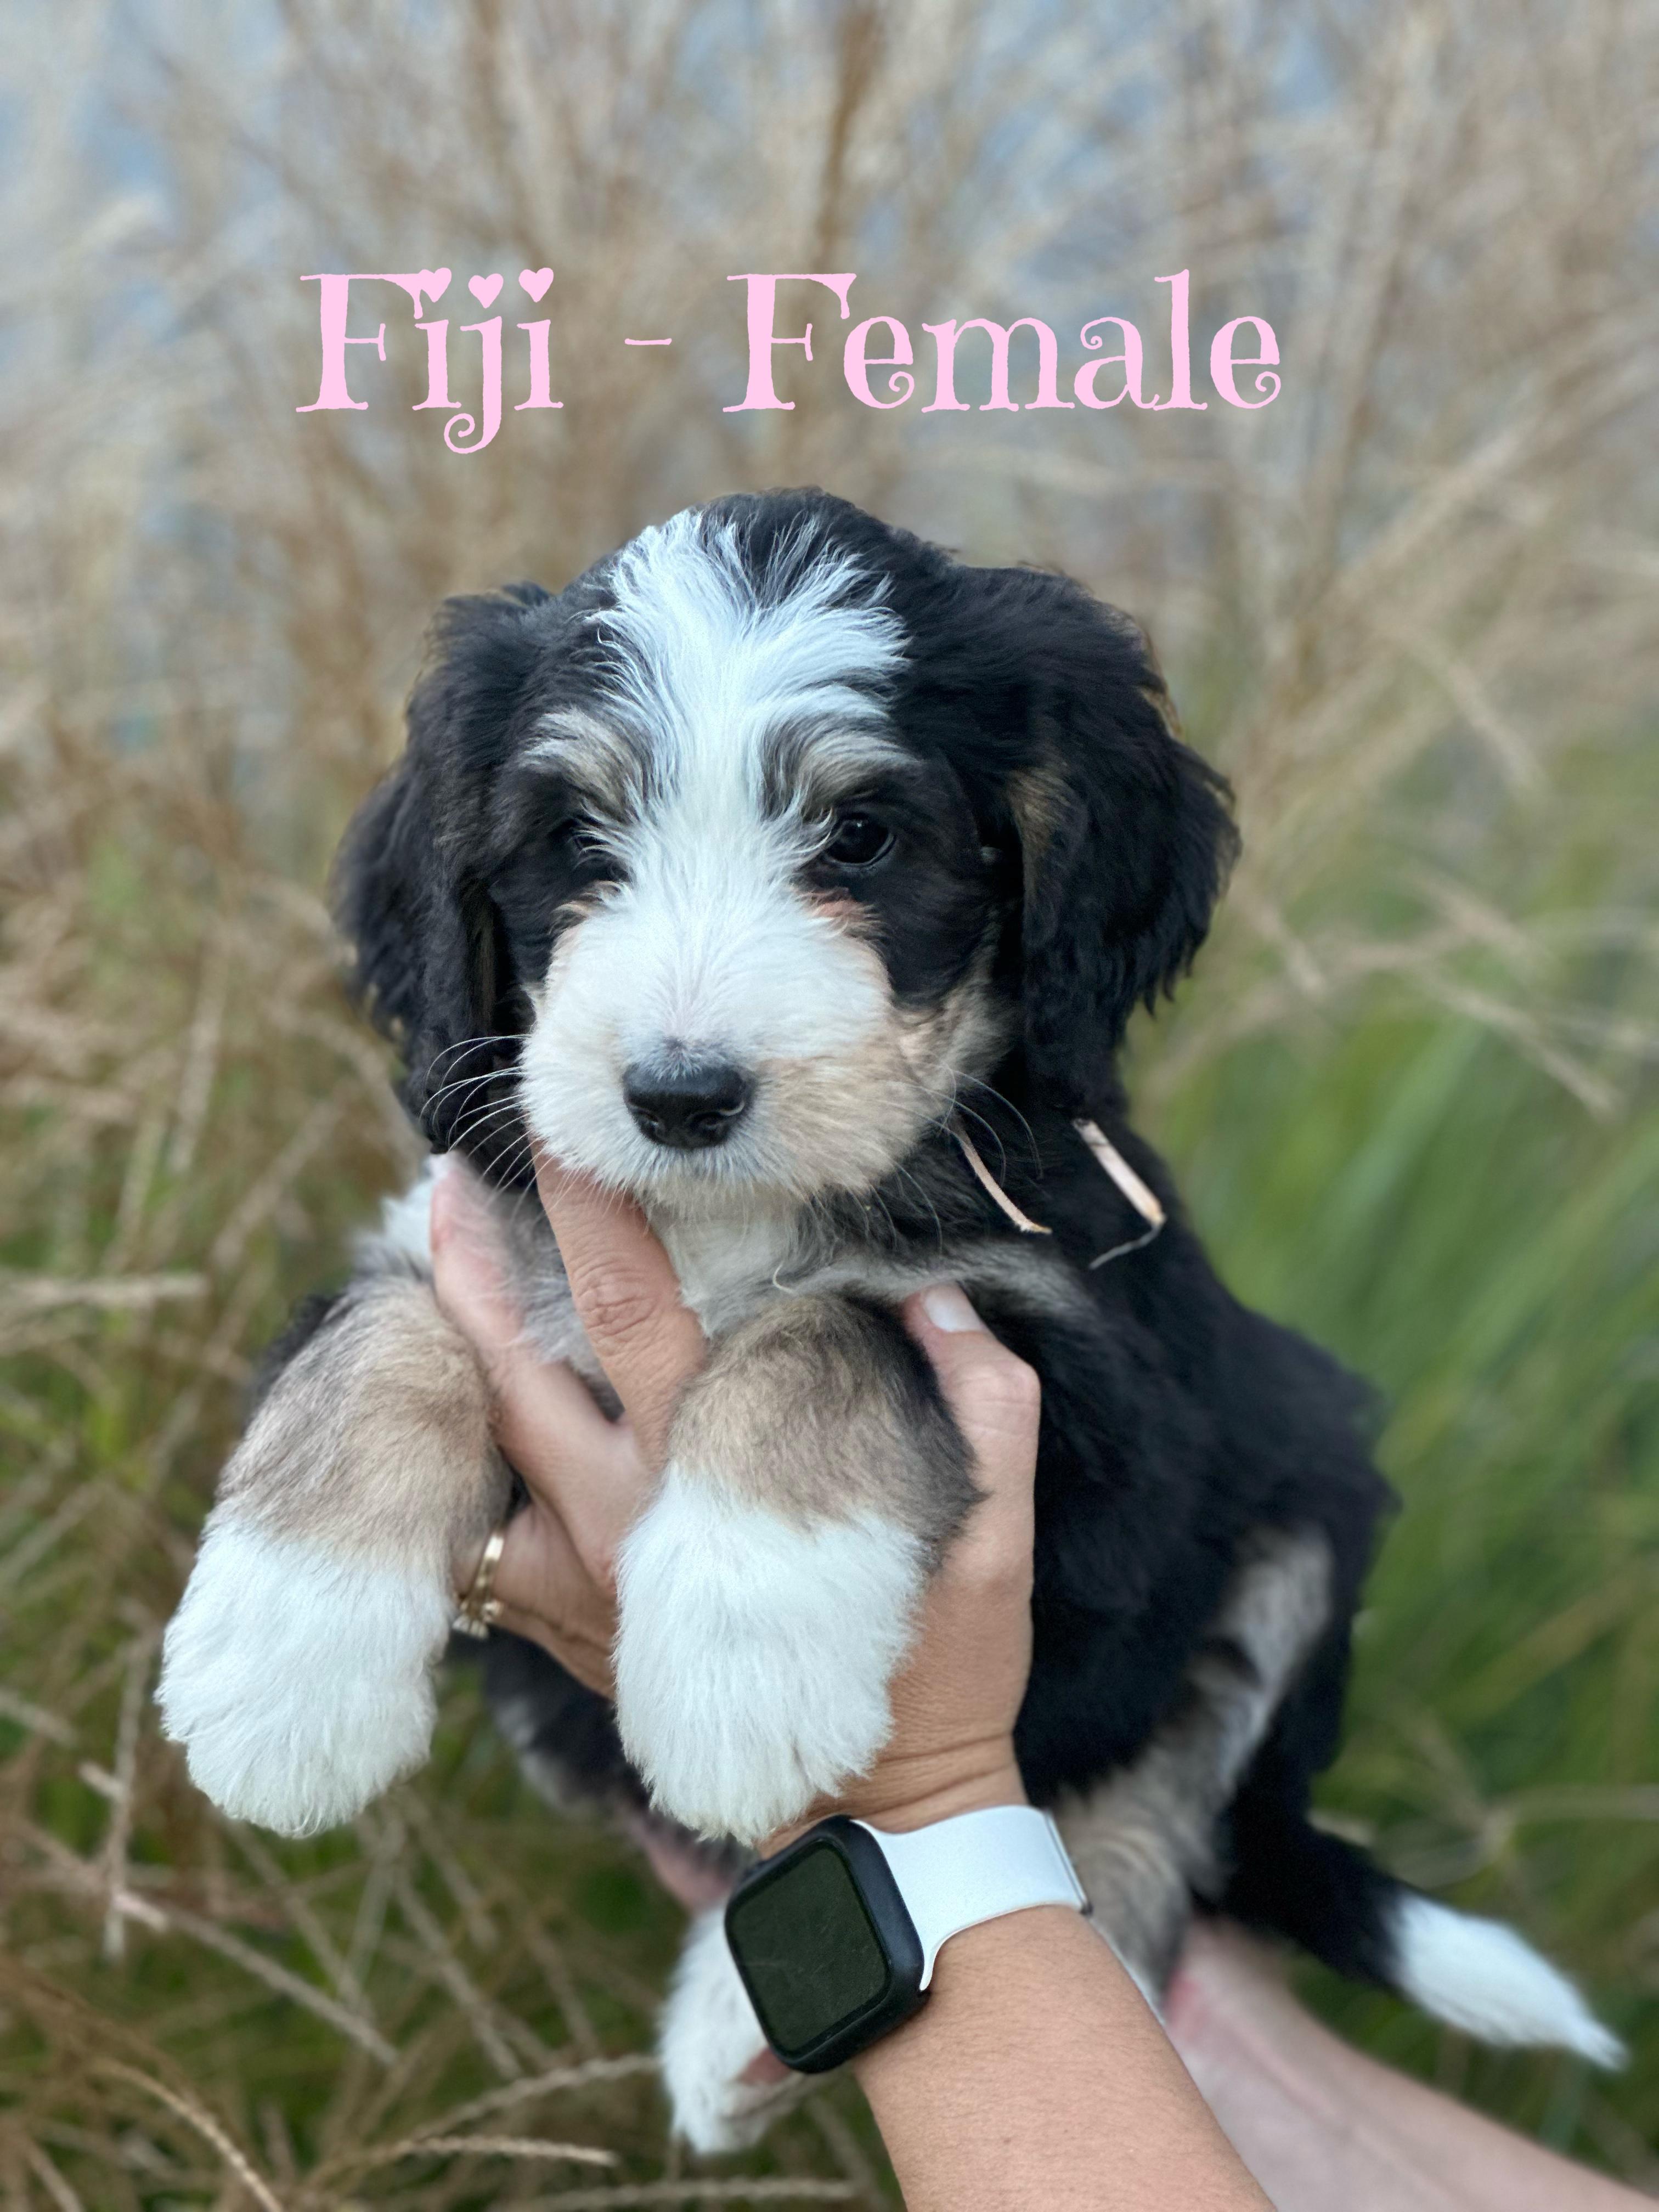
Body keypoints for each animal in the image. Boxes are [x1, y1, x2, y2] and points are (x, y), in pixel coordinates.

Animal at [157, 490, 1621, 2142]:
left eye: (860, 835)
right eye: (577, 840)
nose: (679, 1096)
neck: (725, 1219)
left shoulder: (1086, 1377)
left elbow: (828, 1334)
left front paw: (743, 1650)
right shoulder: (456, 1230)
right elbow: (378, 1339)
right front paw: (285, 1660)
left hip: (1304, 1487)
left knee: (1156, 1800)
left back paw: (752, 2014)